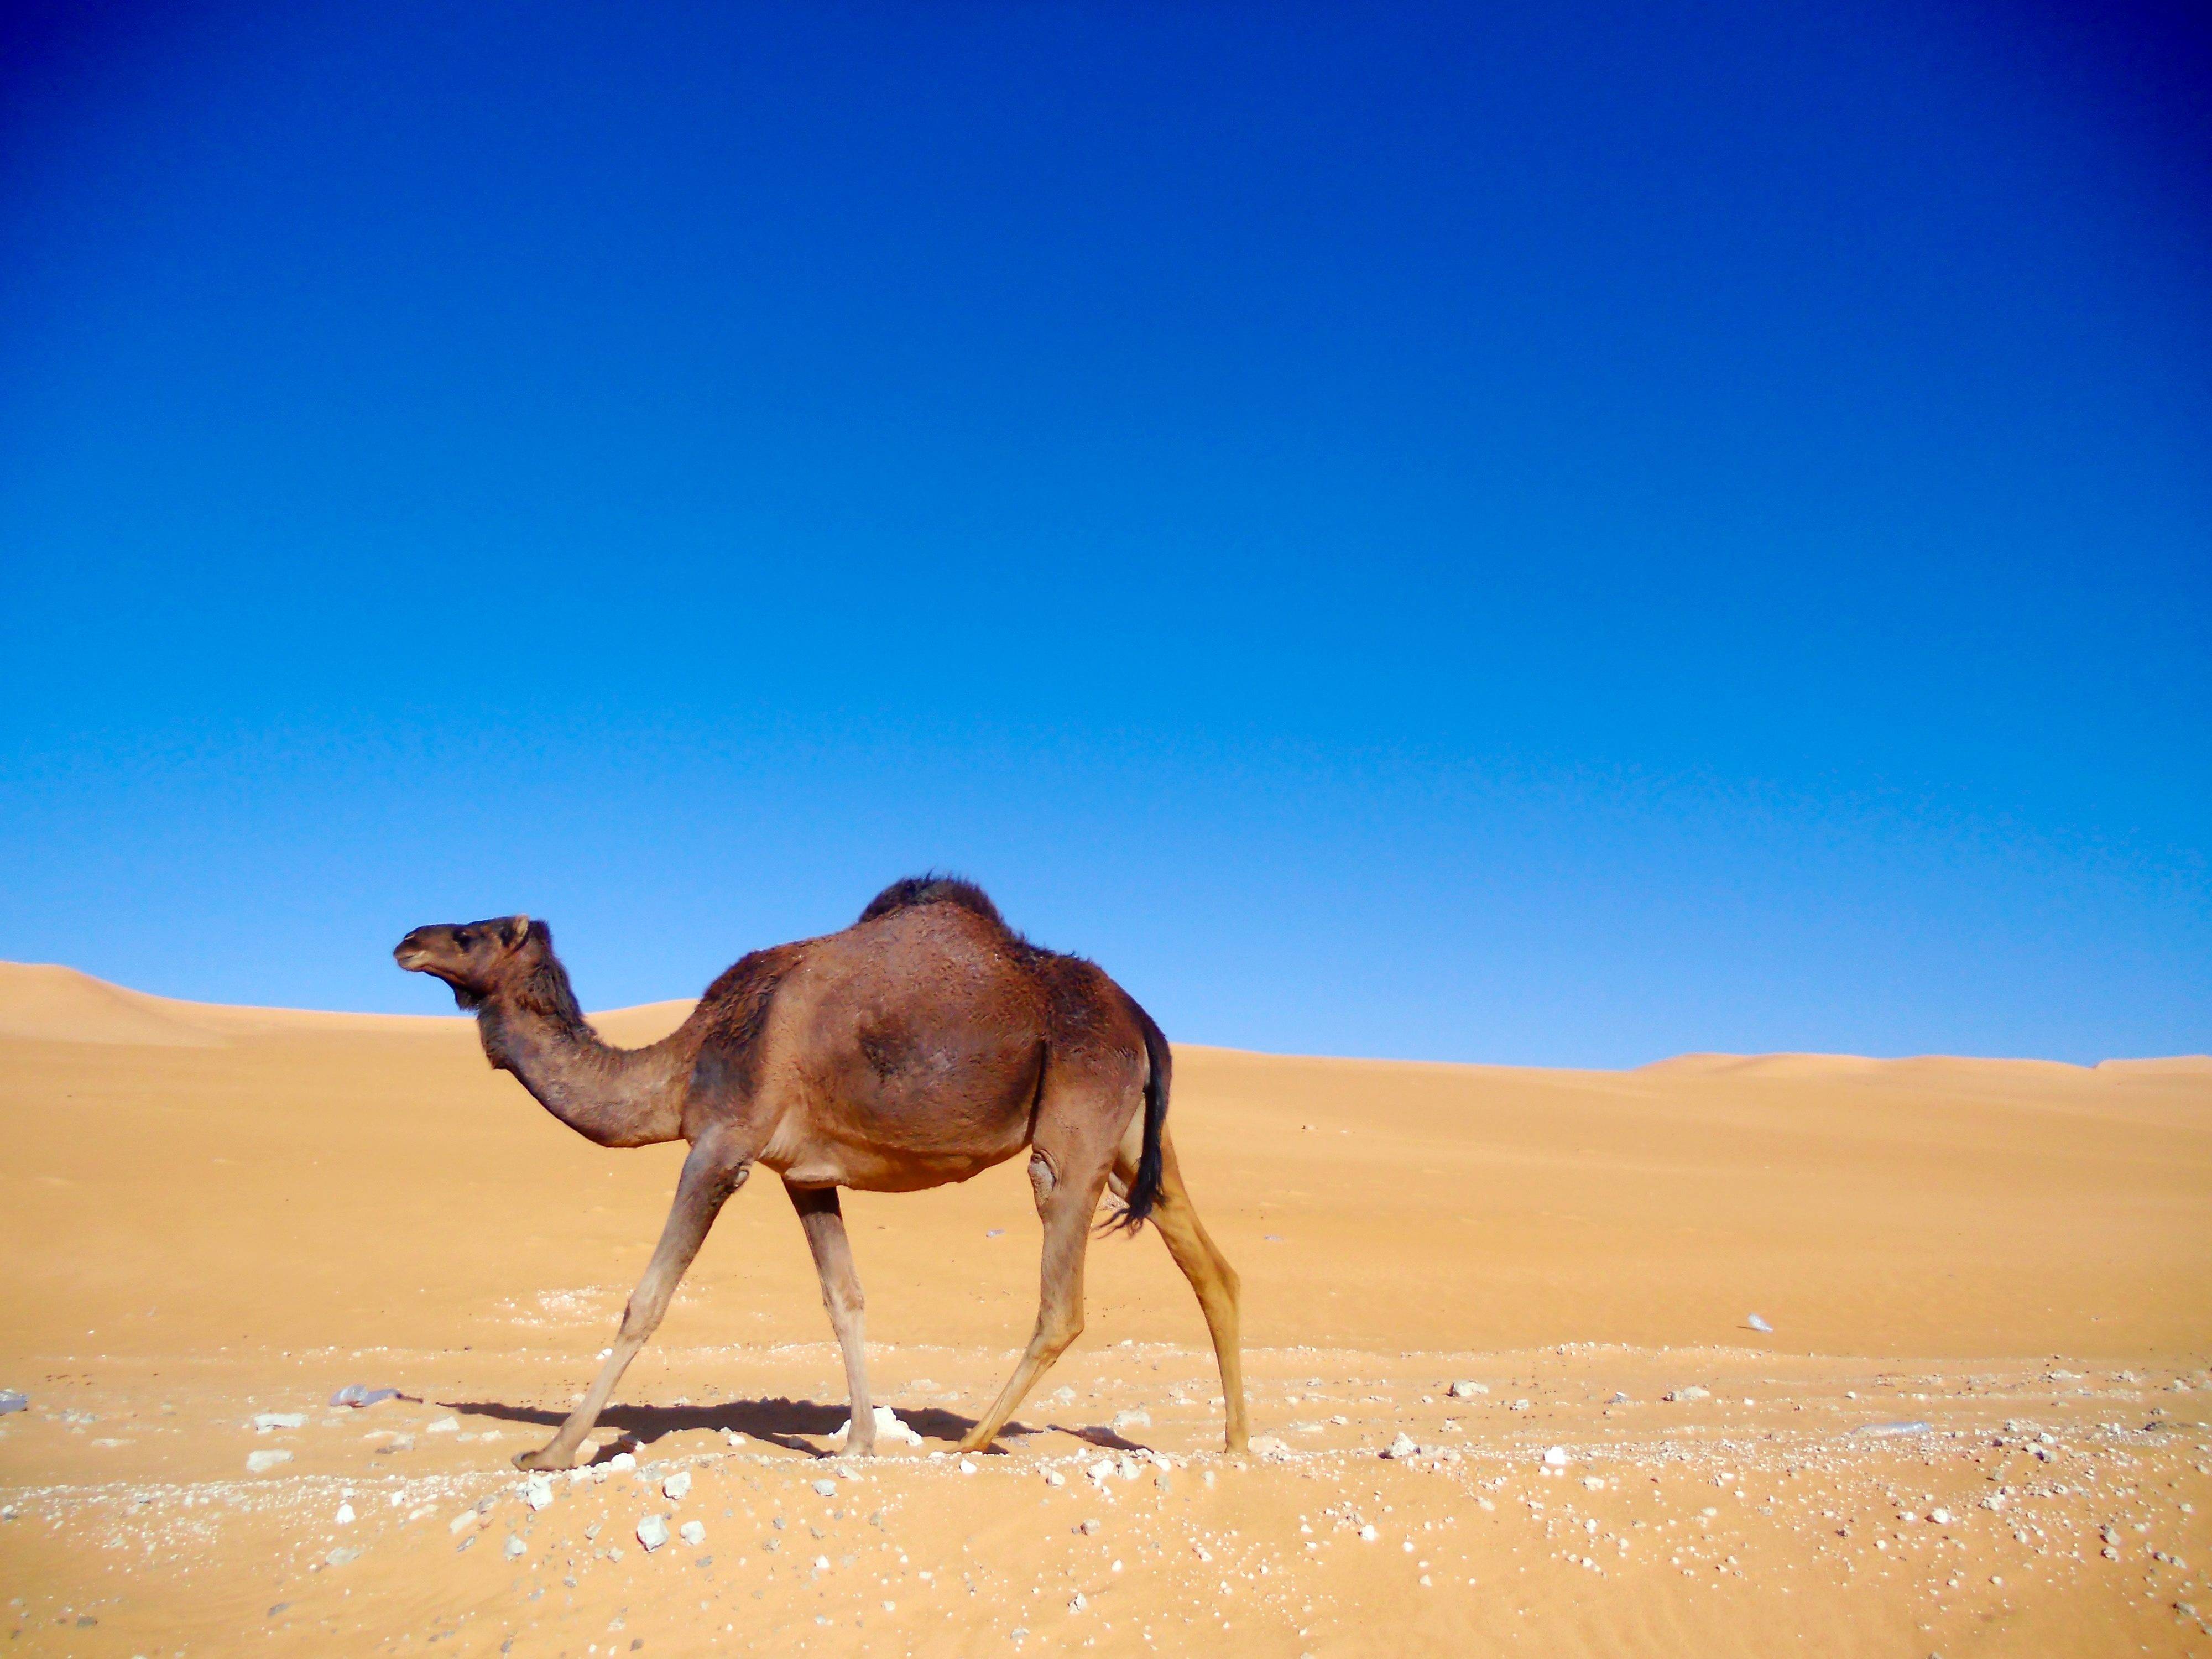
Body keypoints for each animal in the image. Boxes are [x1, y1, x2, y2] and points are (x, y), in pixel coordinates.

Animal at [394, 876, 1248, 1478]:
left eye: (469, 933)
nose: (406, 940)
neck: (685, 1066)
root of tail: (1141, 1017)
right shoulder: (802, 1174)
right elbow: (845, 1299)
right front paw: (859, 1441)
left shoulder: (720, 1146)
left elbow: (648, 1300)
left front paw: (551, 1451)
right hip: (1133, 1143)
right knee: (1211, 1267)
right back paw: (1237, 1441)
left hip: (1073, 1127)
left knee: (1062, 1302)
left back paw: (970, 1441)